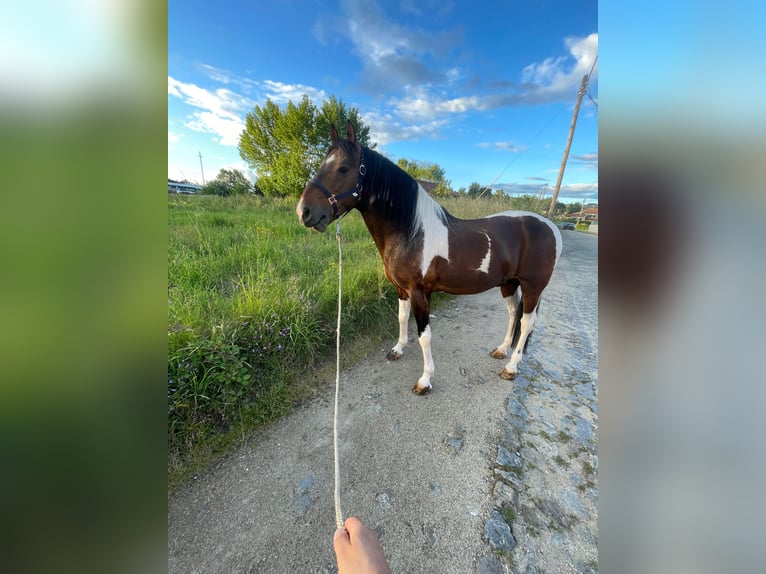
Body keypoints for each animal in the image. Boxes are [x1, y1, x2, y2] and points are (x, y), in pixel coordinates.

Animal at [297, 121, 562, 395]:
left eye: (343, 168)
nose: (304, 212)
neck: (411, 231)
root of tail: (550, 226)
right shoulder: (402, 289)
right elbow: (402, 318)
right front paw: (398, 349)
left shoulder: (419, 292)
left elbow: (424, 335)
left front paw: (425, 380)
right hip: (508, 283)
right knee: (512, 315)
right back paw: (501, 350)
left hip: (532, 287)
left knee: (527, 322)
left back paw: (511, 367)